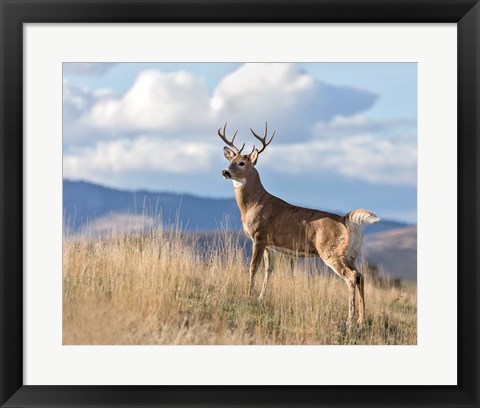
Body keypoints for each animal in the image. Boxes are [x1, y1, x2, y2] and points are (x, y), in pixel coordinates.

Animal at [218, 122, 378, 326]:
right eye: (231, 159)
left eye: (242, 163)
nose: (225, 171)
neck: (254, 204)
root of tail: (346, 220)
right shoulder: (269, 243)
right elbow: (269, 270)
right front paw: (260, 297)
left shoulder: (259, 236)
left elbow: (253, 267)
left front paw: (248, 294)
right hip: (351, 255)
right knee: (360, 276)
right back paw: (361, 319)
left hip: (332, 252)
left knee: (351, 277)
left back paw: (350, 320)